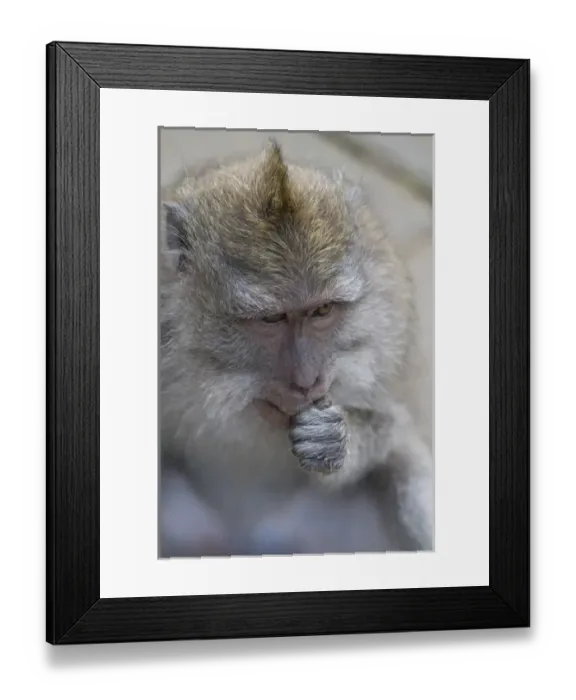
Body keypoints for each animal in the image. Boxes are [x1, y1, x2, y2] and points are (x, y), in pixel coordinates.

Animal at [158, 138, 434, 557]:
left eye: (322, 310)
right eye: (271, 319)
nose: (307, 381)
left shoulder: (390, 336)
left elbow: (392, 424)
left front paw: (334, 442)